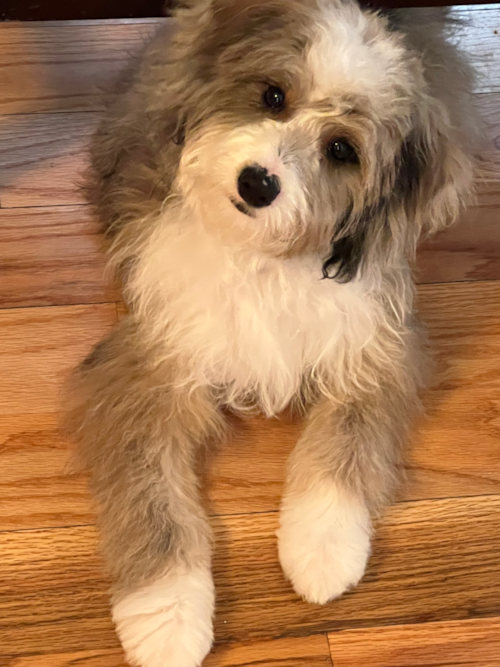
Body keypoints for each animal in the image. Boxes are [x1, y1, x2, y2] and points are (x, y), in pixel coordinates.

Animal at [65, 2, 476, 664]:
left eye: (341, 149)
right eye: (273, 96)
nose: (258, 183)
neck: (261, 257)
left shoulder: (375, 344)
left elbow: (347, 442)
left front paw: (323, 547)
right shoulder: (145, 363)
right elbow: (152, 494)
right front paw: (167, 616)